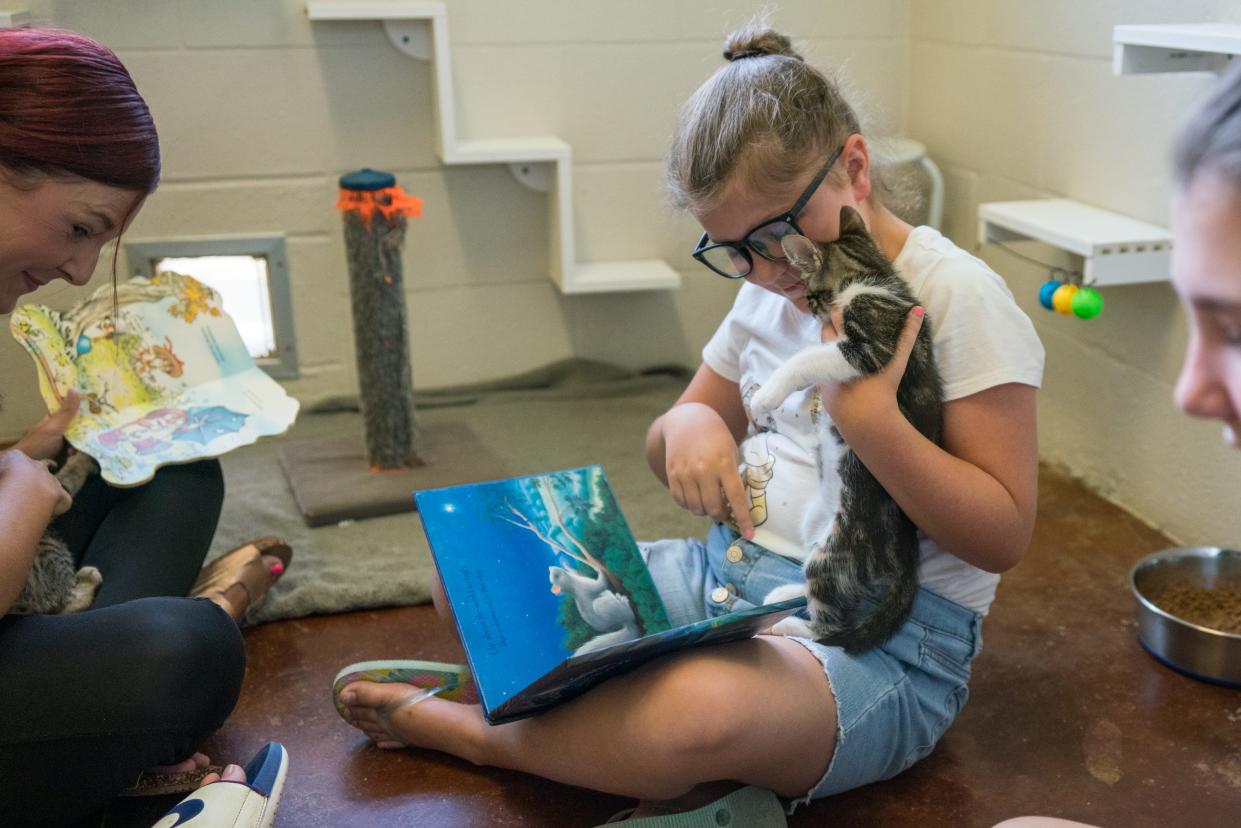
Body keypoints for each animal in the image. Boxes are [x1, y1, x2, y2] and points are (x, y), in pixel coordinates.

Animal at [744, 206, 938, 655]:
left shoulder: (868, 346)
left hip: (837, 553)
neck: (872, 275)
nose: (809, 308)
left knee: (830, 626)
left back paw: (787, 626)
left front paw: (766, 397)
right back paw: (784, 597)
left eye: (810, 294)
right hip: (814, 528)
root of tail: (905, 553)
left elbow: (805, 359)